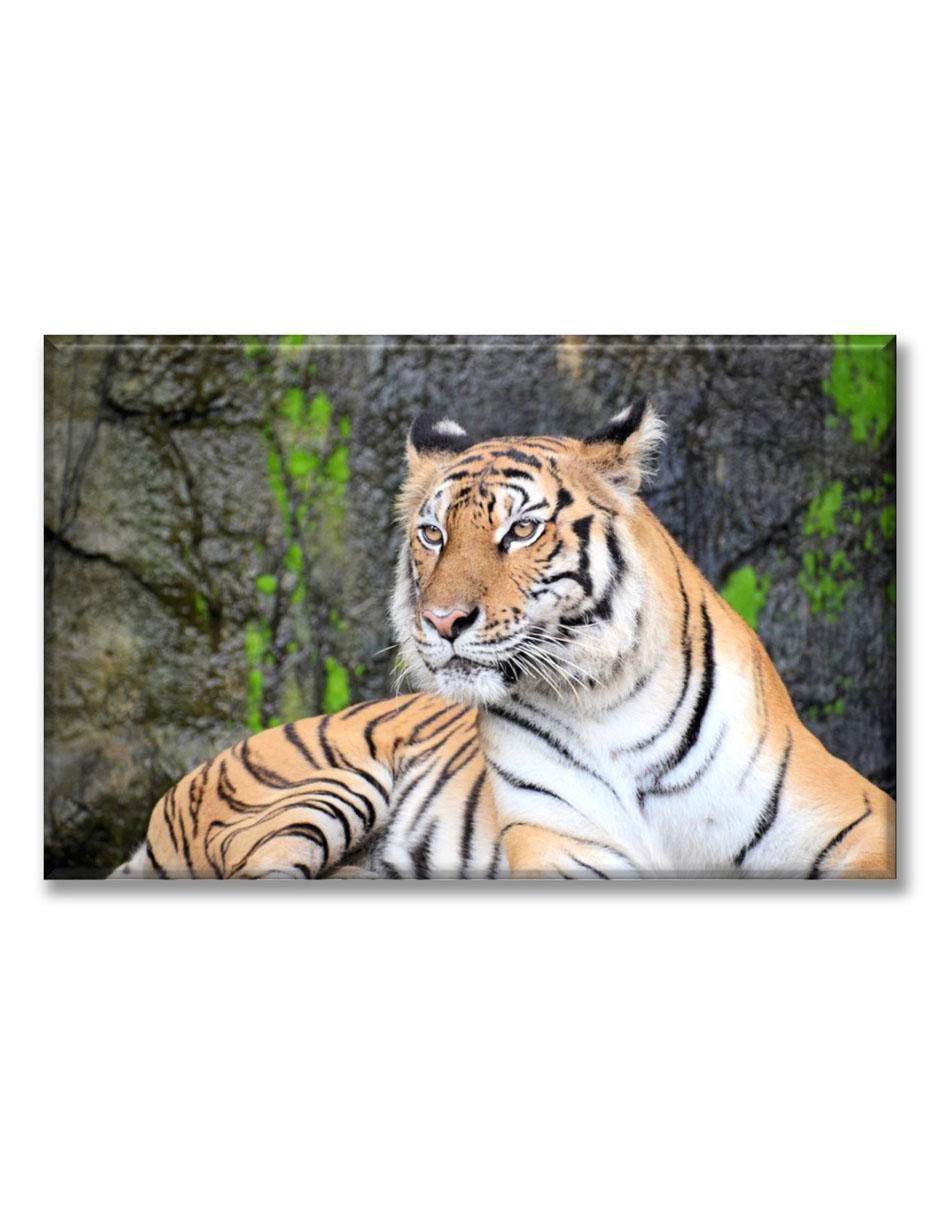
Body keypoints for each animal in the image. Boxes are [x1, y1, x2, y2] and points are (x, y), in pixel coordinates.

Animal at [113, 403, 895, 879]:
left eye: (520, 530)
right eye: (433, 534)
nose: (442, 621)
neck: (608, 701)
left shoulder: (856, 822)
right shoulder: (569, 849)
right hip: (314, 791)